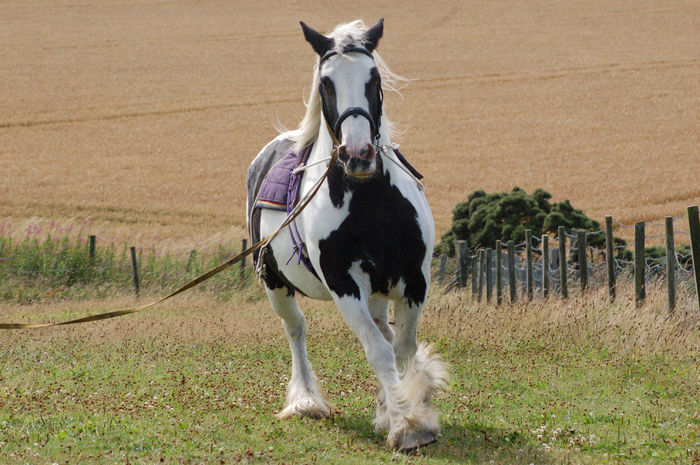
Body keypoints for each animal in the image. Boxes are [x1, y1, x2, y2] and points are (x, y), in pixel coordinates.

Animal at [243, 19, 446, 450]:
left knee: (384, 331)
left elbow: (402, 348)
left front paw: (404, 414)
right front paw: (406, 425)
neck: (370, 201)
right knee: (296, 329)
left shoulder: (414, 280)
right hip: (275, 285)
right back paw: (306, 401)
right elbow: (379, 351)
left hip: (378, 291)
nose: (358, 155)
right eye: (326, 83)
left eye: (374, 79)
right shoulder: (344, 285)